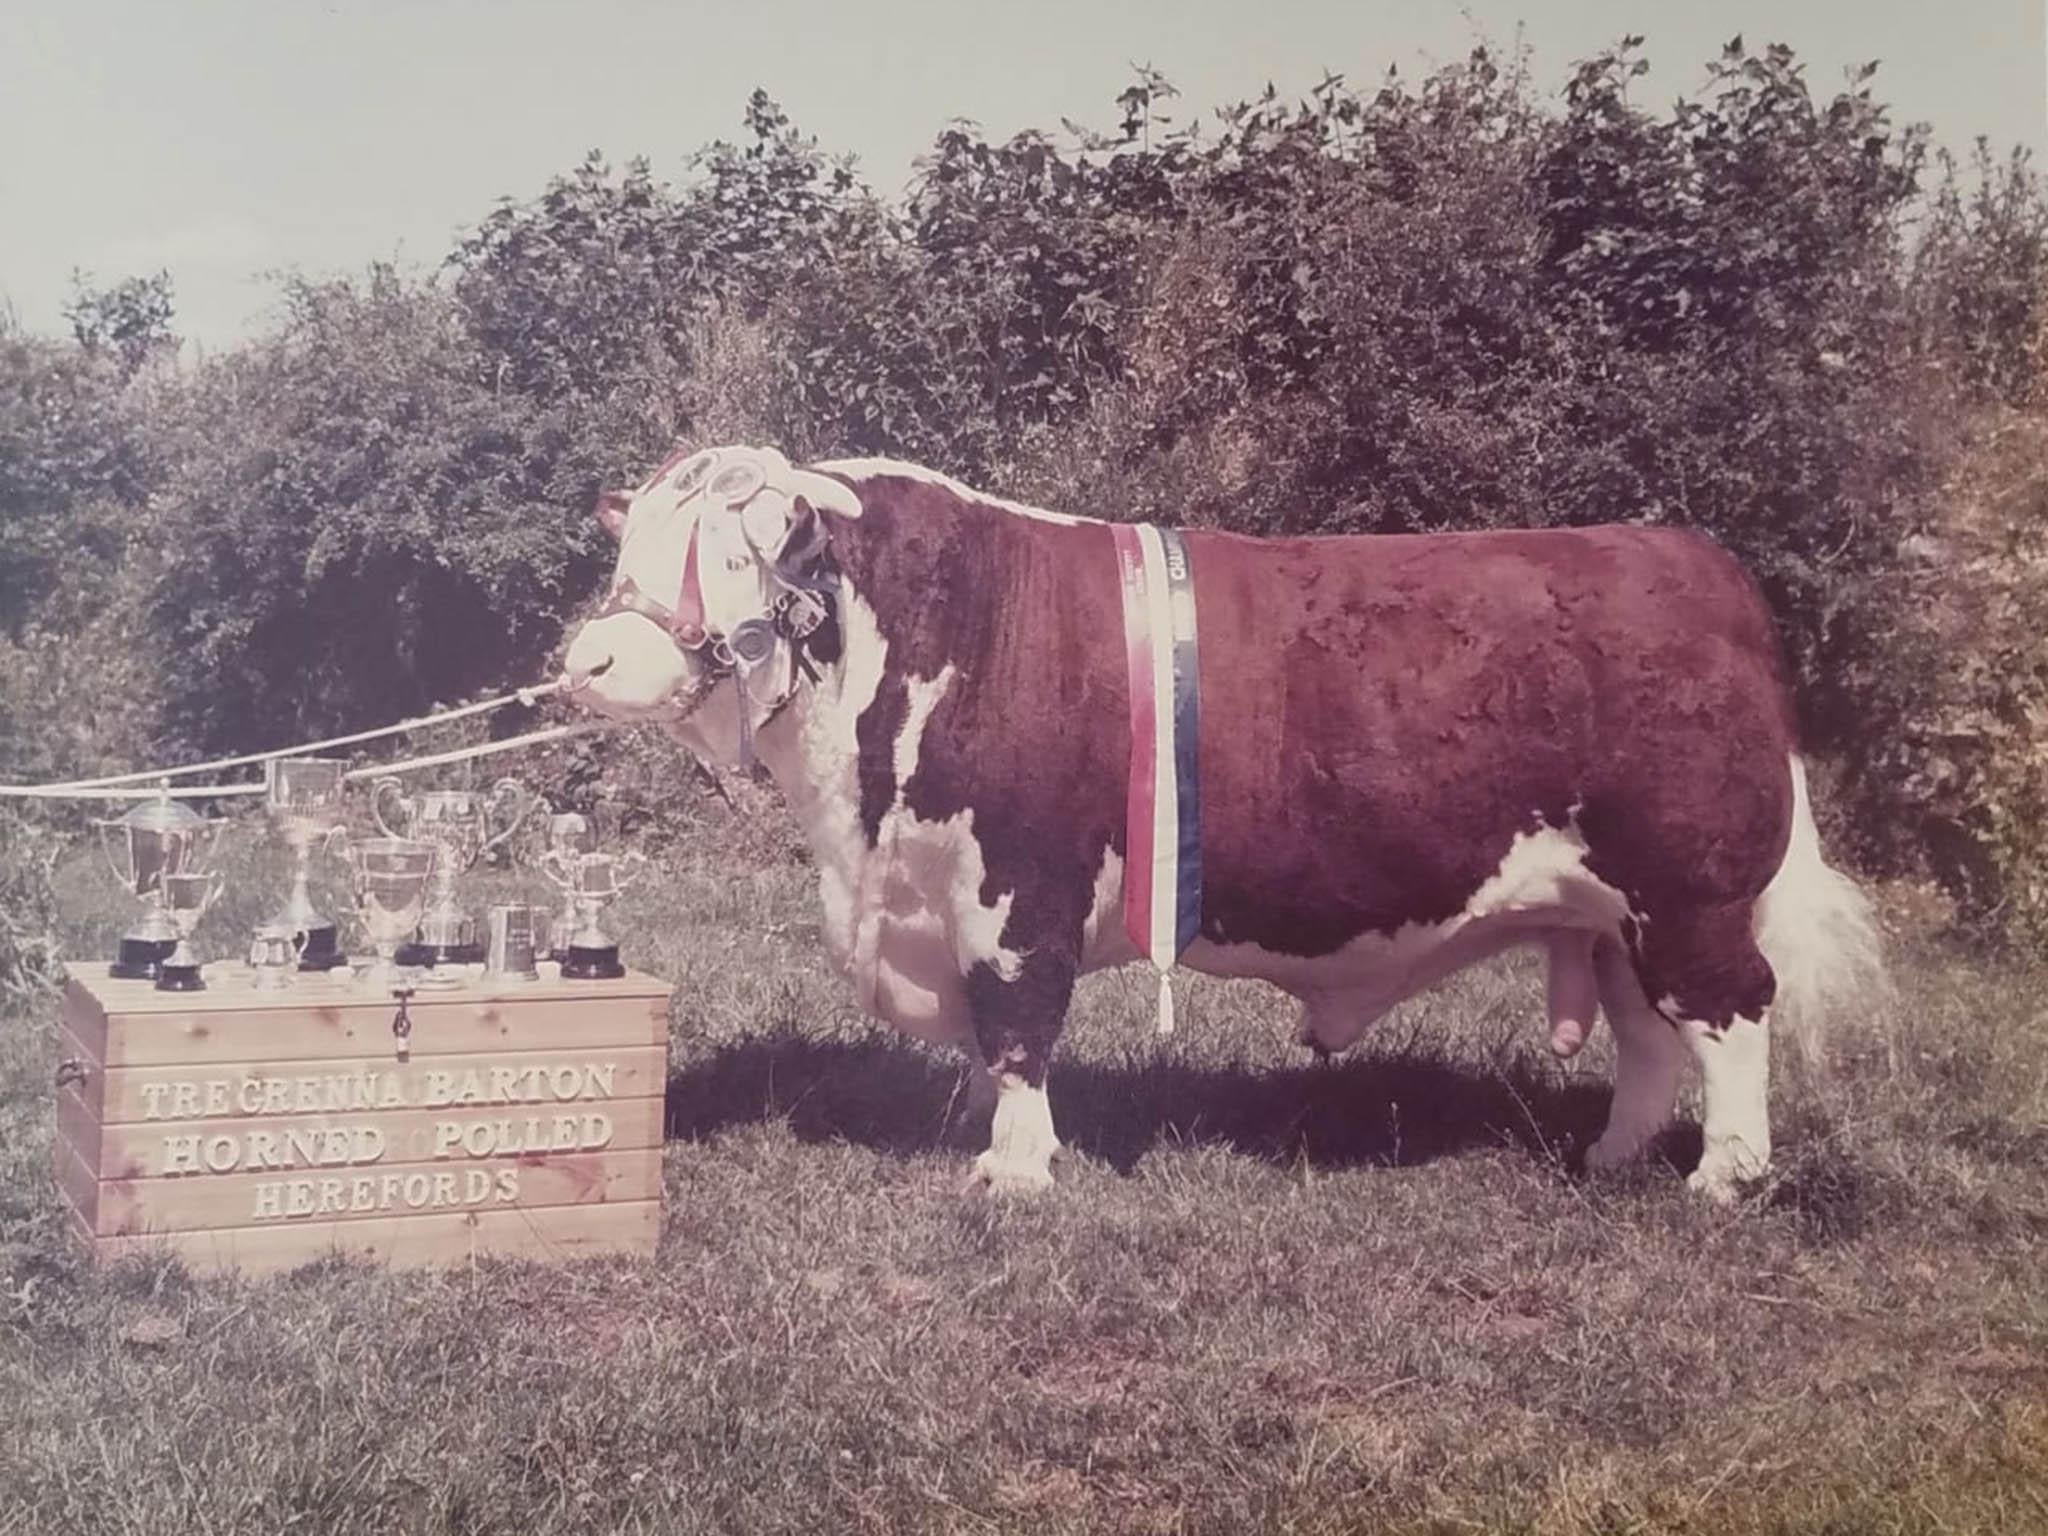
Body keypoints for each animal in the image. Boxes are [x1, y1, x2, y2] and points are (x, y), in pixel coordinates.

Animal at [565, 444, 1884, 1204]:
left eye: (732, 556)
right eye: (630, 550)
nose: (587, 661)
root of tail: (1686, 558)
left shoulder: (1014, 891)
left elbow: (1016, 1029)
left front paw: (1014, 1170)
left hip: (1690, 891)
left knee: (1729, 1015)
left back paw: (1723, 1180)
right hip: (1612, 914)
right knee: (1649, 1036)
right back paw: (1614, 1161)